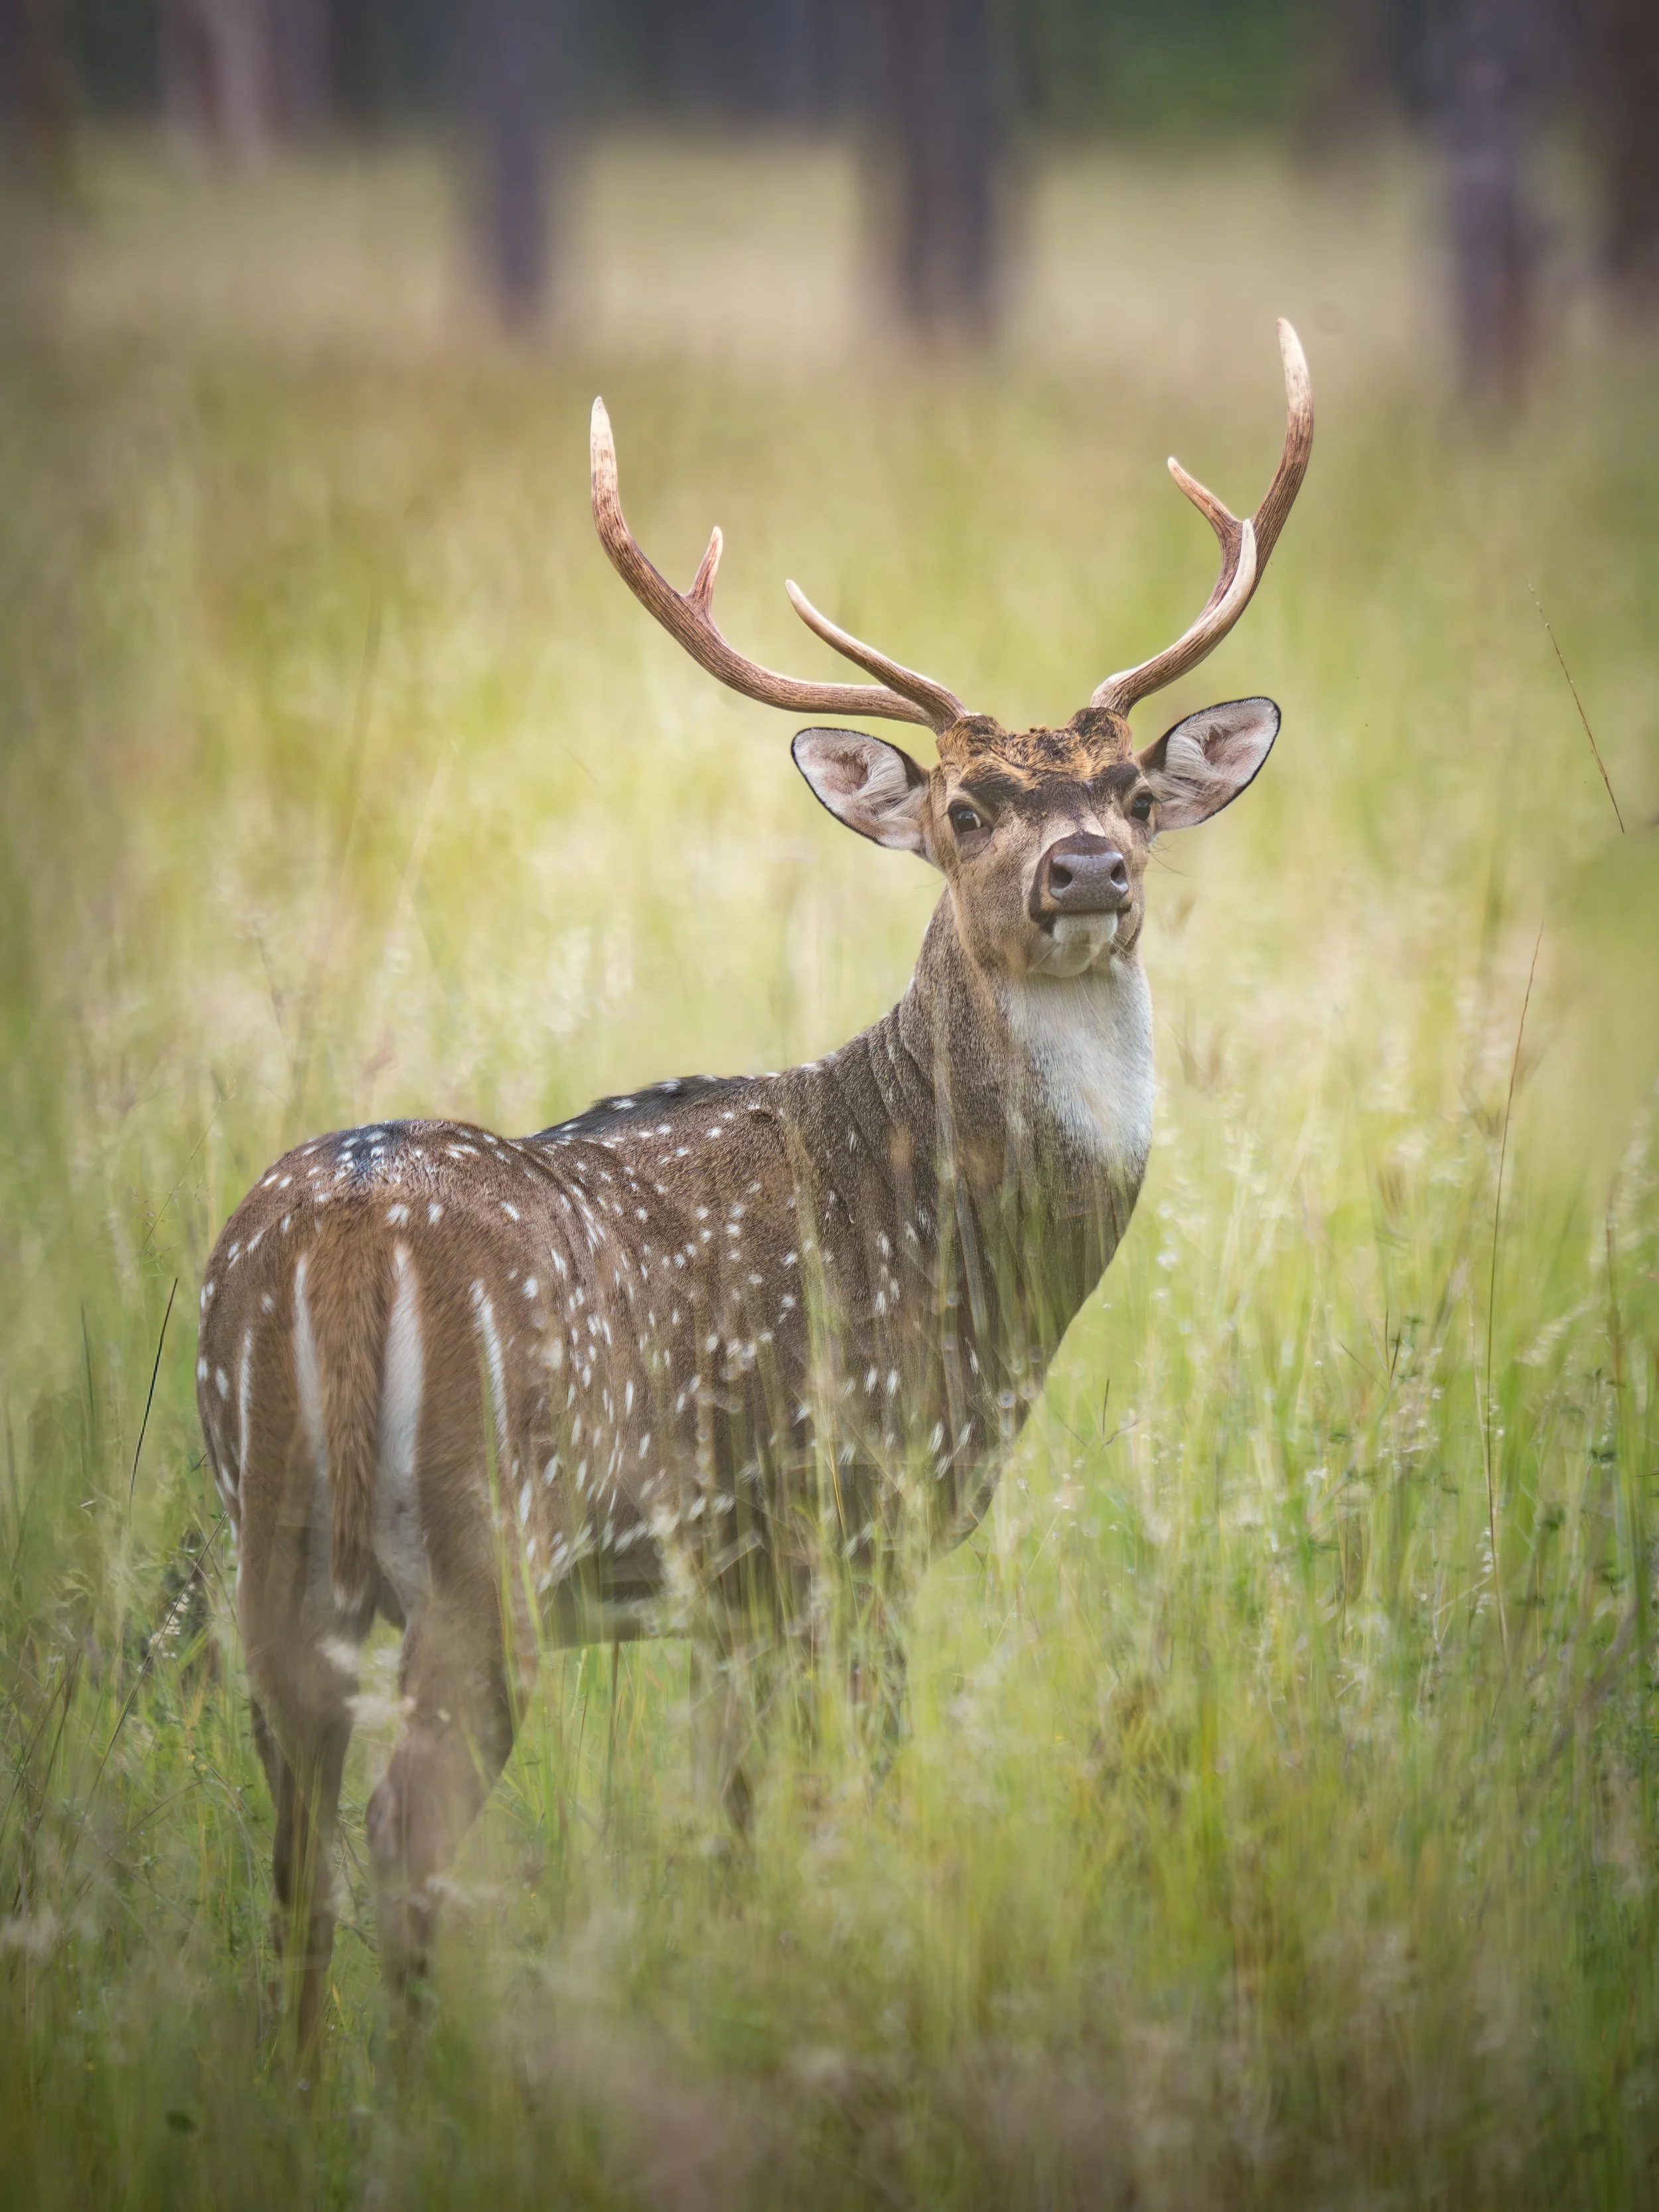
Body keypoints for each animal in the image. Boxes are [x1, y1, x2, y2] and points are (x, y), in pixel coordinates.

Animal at [196, 323, 1312, 2054]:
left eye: (1132, 790)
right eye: (962, 810)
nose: (1086, 871)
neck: (960, 1256)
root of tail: (341, 1237)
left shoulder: (729, 1582)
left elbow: (726, 1821)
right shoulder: (851, 1511)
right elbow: (843, 1789)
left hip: (270, 1533)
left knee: (298, 1823)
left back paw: (307, 2081)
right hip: (491, 1528)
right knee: (408, 1817)